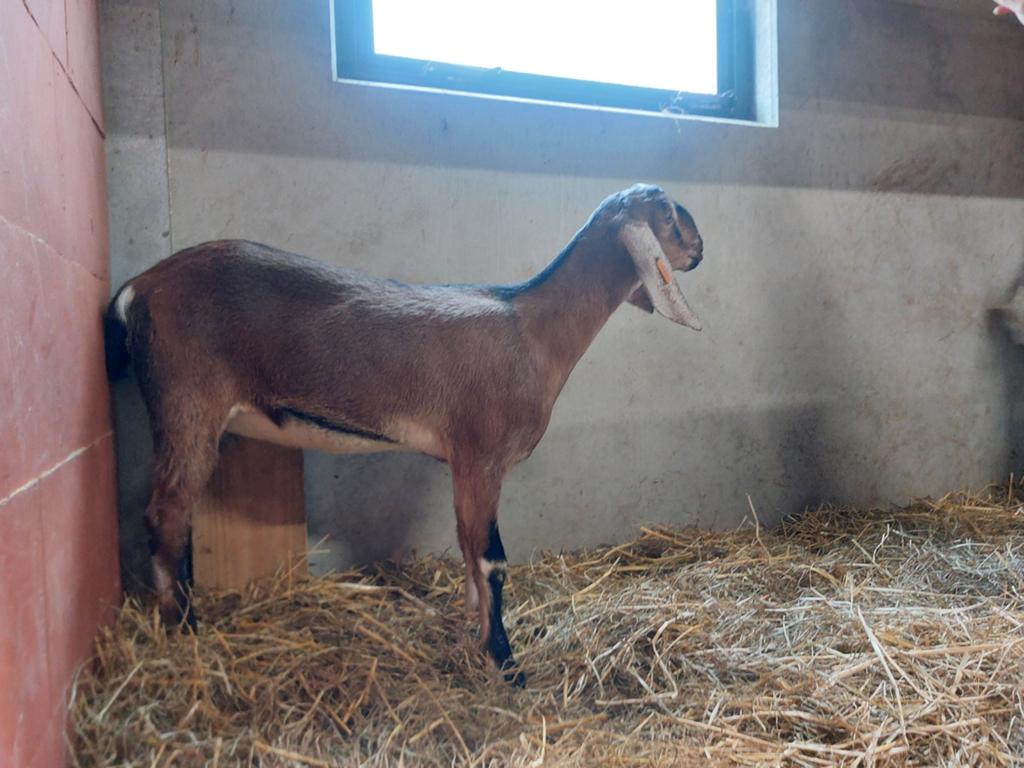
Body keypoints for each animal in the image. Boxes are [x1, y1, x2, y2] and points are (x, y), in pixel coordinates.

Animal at [104, 183, 705, 685]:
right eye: (669, 212)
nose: (700, 250)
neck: (530, 328)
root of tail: (139, 288)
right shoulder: (481, 456)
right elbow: (491, 560)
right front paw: (505, 663)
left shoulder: (461, 463)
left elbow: (467, 548)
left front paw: (473, 631)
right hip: (187, 404)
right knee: (165, 513)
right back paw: (185, 627)